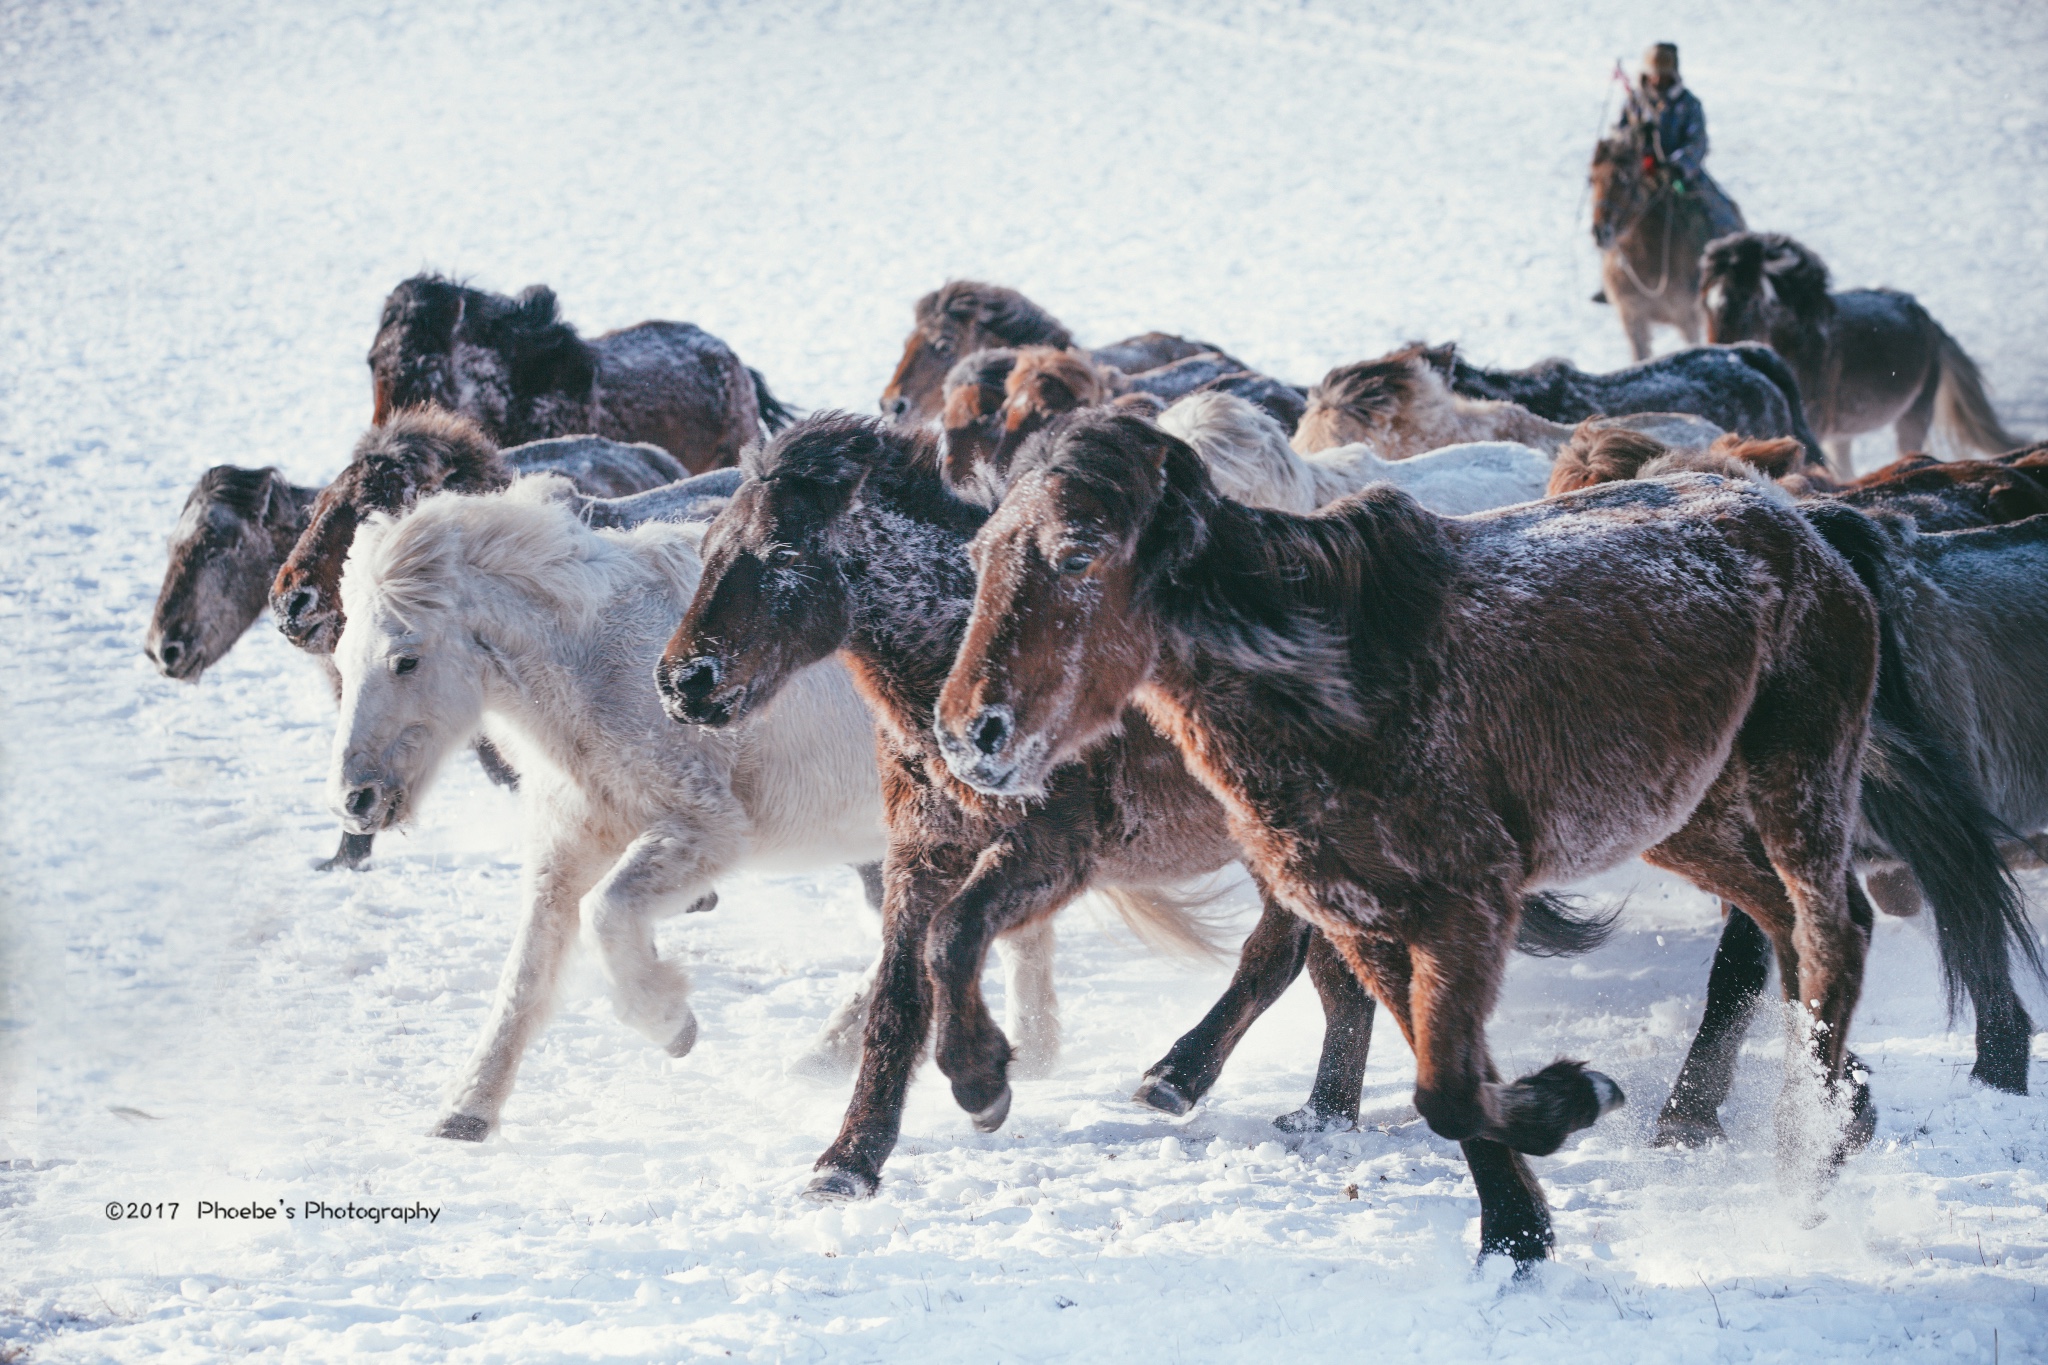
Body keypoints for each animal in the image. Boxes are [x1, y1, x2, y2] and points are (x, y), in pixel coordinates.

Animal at [327, 480, 1056, 1146]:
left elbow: (609, 913)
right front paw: (467, 1111)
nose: (353, 799)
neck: (595, 667)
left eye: (405, 658)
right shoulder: (570, 843)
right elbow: (526, 977)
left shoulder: (706, 831)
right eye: (339, 656)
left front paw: (671, 1024)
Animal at [937, 411, 1908, 1268]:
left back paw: (1808, 1157)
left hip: (1794, 779)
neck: (1341, 686)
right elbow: (1447, 1081)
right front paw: (1520, 1234)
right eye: (979, 556)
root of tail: (1810, 531)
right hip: (1687, 816)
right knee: (1786, 922)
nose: (970, 735)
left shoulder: (1465, 907)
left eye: (1077, 553)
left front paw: (1574, 1102)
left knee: (1833, 930)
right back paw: (1841, 1107)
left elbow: (1444, 1087)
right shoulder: (1369, 920)